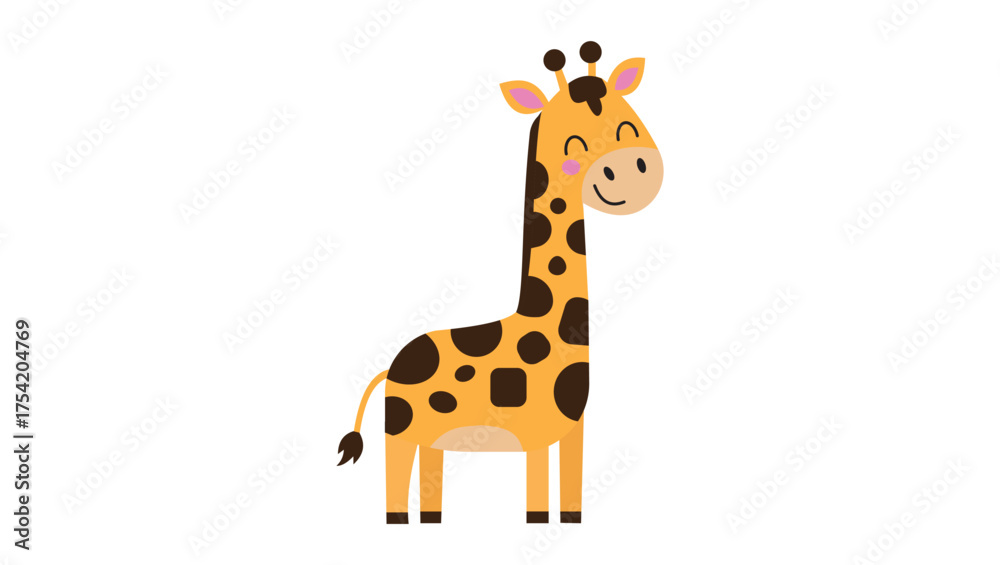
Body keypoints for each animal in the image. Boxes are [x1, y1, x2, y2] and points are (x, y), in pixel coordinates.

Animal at [338, 42, 663, 524]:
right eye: (573, 145)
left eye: (628, 125)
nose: (632, 172)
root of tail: (390, 367)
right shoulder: (534, 436)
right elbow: (536, 505)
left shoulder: (574, 428)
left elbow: (571, 499)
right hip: (399, 432)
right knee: (394, 490)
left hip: (431, 439)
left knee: (430, 494)